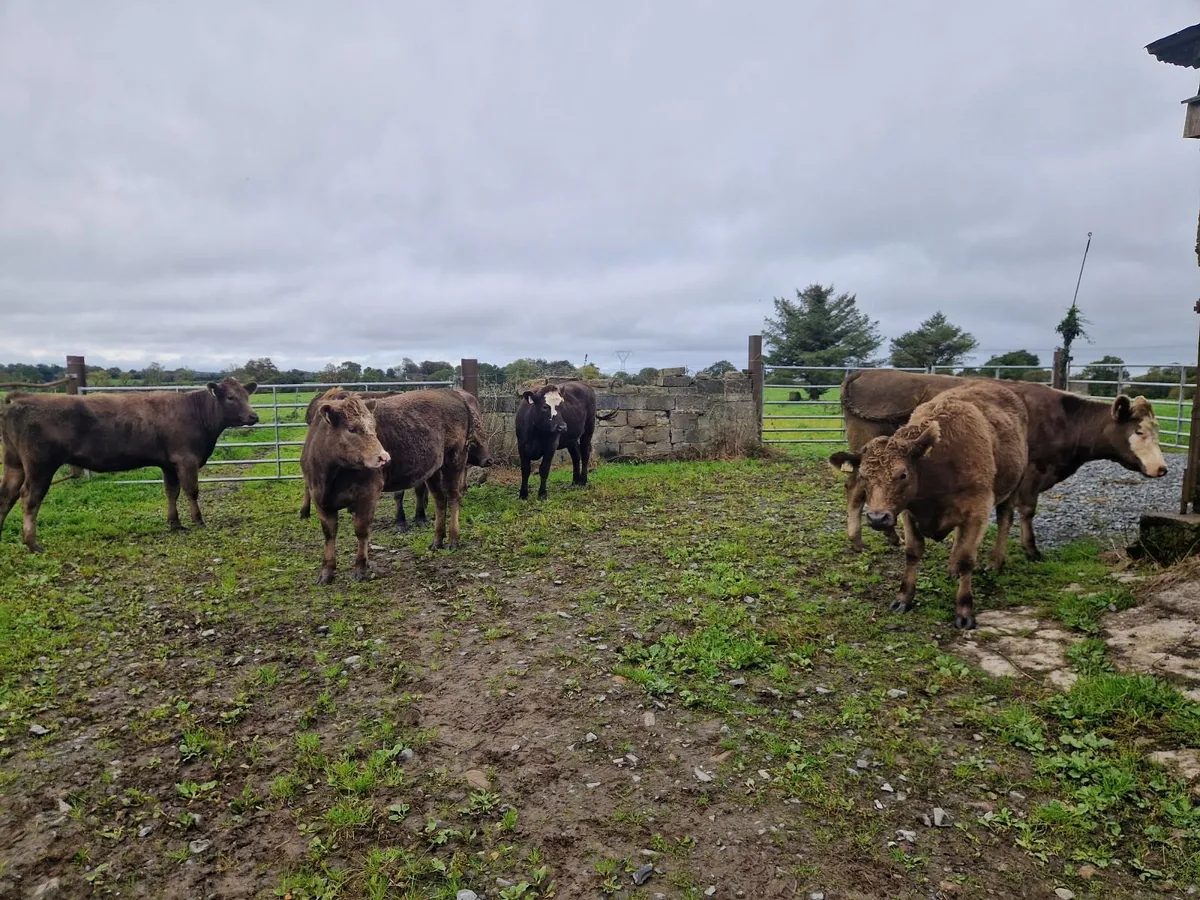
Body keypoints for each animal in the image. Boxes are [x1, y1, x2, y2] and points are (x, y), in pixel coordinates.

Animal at [0, 378, 259, 551]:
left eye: (247, 396)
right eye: (230, 397)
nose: (254, 416)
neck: (195, 413)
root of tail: (20, 397)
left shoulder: (168, 464)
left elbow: (171, 492)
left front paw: (175, 523)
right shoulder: (187, 460)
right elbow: (191, 491)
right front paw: (198, 521)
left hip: (14, 463)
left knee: (7, 494)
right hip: (40, 465)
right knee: (29, 498)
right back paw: (32, 544)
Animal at [300, 388, 473, 585]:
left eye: (373, 428)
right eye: (351, 429)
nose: (384, 457)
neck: (330, 475)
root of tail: (450, 391)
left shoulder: (368, 493)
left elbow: (361, 530)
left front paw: (360, 568)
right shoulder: (319, 497)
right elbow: (329, 533)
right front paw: (326, 572)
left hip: (455, 459)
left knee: (453, 497)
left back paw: (453, 539)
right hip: (434, 469)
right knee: (439, 500)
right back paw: (437, 539)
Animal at [830, 381, 1029, 629]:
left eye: (902, 474)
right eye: (865, 475)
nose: (877, 518)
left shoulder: (978, 511)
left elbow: (967, 559)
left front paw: (964, 611)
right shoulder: (909, 513)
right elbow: (913, 552)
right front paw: (903, 598)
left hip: (1013, 487)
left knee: (1004, 519)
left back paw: (995, 562)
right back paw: (952, 568)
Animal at [836, 369, 1168, 559]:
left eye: (1157, 429)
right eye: (1138, 431)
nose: (1162, 469)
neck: (1063, 418)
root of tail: (865, 372)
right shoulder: (1032, 471)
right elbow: (1027, 510)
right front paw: (1031, 549)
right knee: (856, 487)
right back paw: (858, 540)